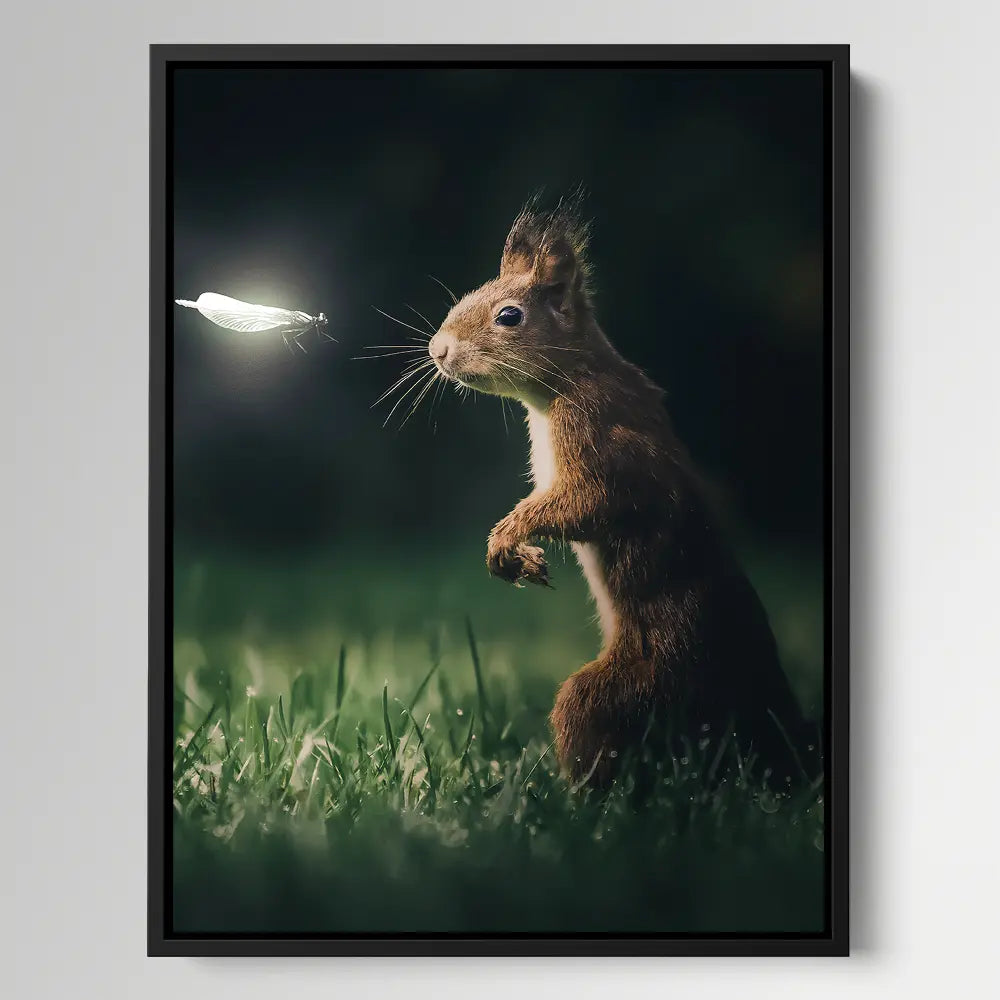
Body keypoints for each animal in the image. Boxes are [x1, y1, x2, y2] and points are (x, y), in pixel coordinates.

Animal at [428, 195, 809, 787]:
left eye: (509, 316)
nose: (437, 350)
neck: (571, 378)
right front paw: (519, 550)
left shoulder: (602, 440)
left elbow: (590, 503)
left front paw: (508, 536)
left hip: (638, 683)